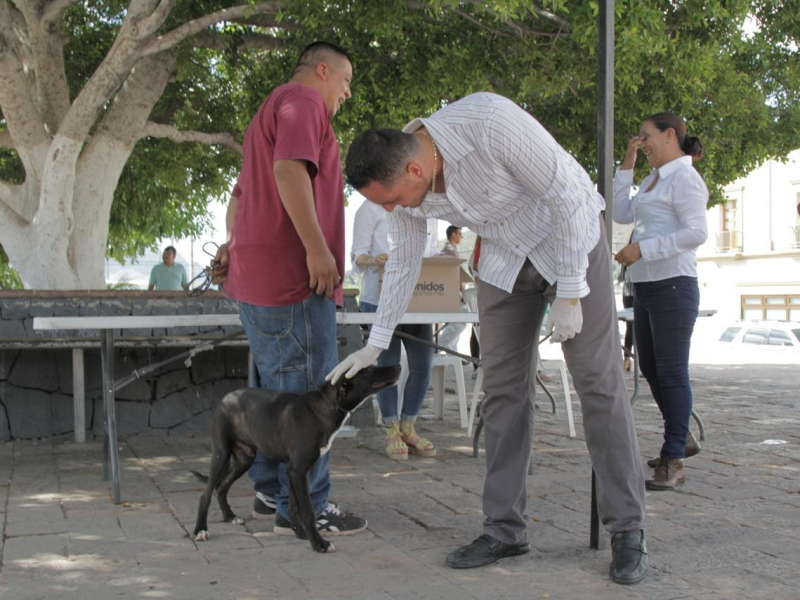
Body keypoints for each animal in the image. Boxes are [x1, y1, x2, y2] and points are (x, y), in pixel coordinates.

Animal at [194, 364, 400, 552]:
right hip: (221, 455)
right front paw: (318, 543)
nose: (398, 366)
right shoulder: (298, 470)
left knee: (221, 487)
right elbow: (307, 511)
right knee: (206, 494)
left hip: (244, 460)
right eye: (368, 370)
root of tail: (225, 398)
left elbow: (294, 506)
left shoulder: (294, 471)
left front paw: (300, 533)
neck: (326, 405)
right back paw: (200, 530)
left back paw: (229, 516)